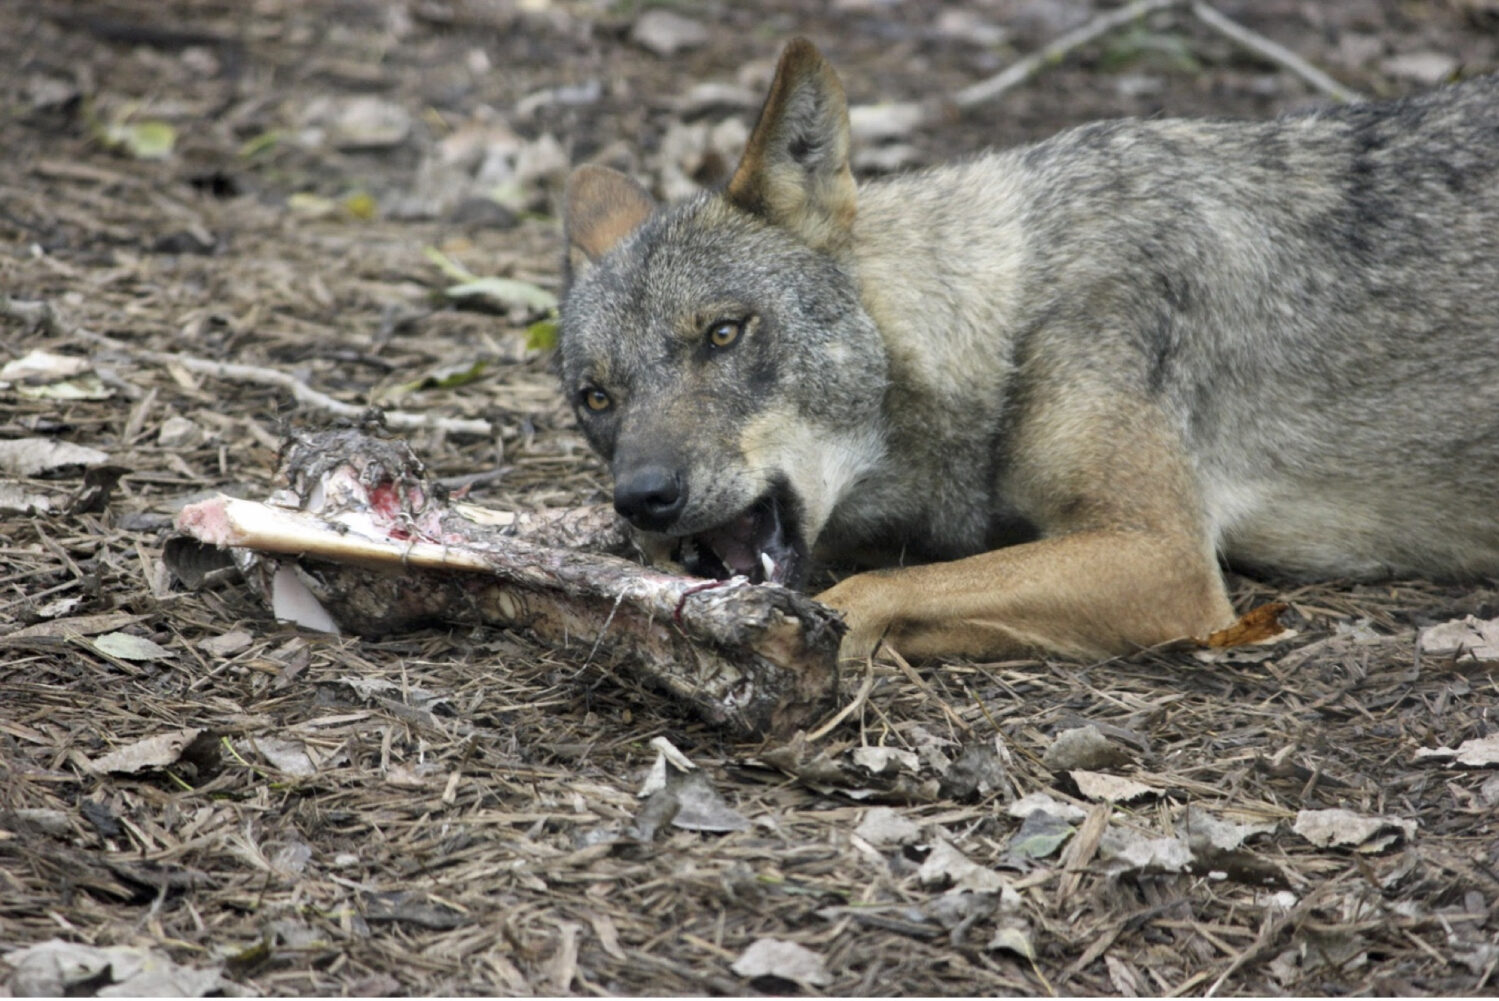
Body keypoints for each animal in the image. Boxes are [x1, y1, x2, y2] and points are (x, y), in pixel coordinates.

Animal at [557, 39, 1499, 665]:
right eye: (596, 398)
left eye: (723, 332)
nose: (643, 498)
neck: (1008, 318)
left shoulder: (1161, 556)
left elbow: (873, 591)